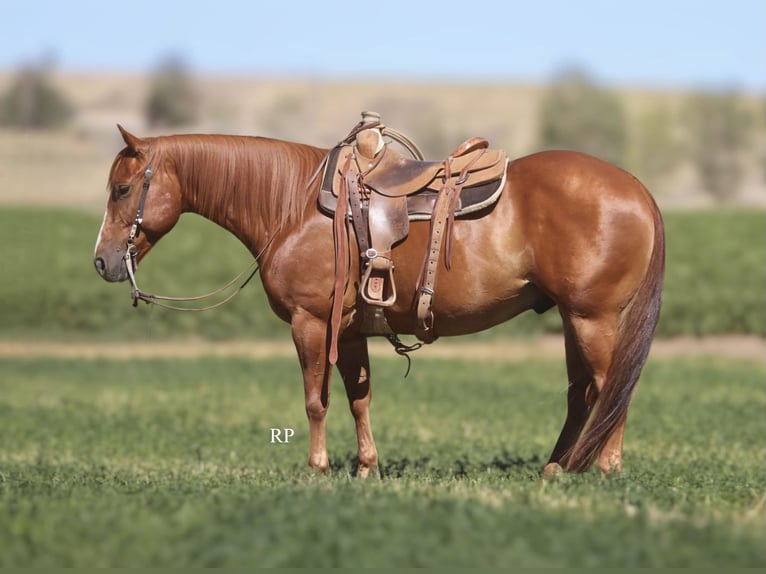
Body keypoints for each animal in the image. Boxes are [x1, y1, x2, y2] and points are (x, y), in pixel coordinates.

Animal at [93, 122, 664, 477]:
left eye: (122, 189)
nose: (102, 261)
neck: (293, 205)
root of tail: (636, 188)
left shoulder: (310, 322)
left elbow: (315, 400)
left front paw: (317, 469)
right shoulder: (347, 331)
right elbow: (357, 399)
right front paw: (367, 469)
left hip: (592, 318)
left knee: (612, 387)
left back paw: (605, 468)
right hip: (573, 318)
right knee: (583, 394)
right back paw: (556, 468)